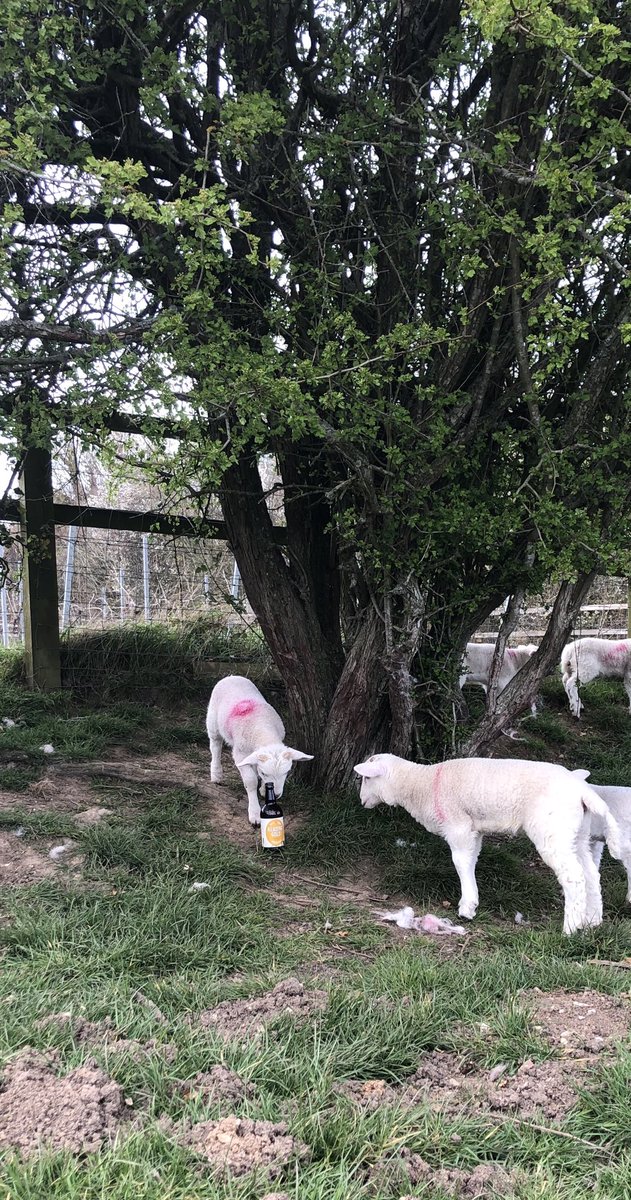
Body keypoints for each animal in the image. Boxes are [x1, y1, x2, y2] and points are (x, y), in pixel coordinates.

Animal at [206, 675, 313, 826]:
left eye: (287, 772)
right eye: (264, 773)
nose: (277, 794)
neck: (263, 730)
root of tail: (232, 676)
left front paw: (263, 789)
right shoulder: (240, 754)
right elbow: (250, 781)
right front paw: (255, 814)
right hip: (213, 720)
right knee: (215, 745)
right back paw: (216, 774)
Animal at [353, 753, 622, 934]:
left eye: (365, 779)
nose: (361, 800)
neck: (421, 784)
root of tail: (582, 792)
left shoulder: (458, 825)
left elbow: (460, 861)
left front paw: (467, 907)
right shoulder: (475, 829)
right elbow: (472, 859)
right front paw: (471, 900)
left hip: (553, 830)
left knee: (573, 876)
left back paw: (571, 928)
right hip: (577, 834)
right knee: (591, 874)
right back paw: (593, 921)